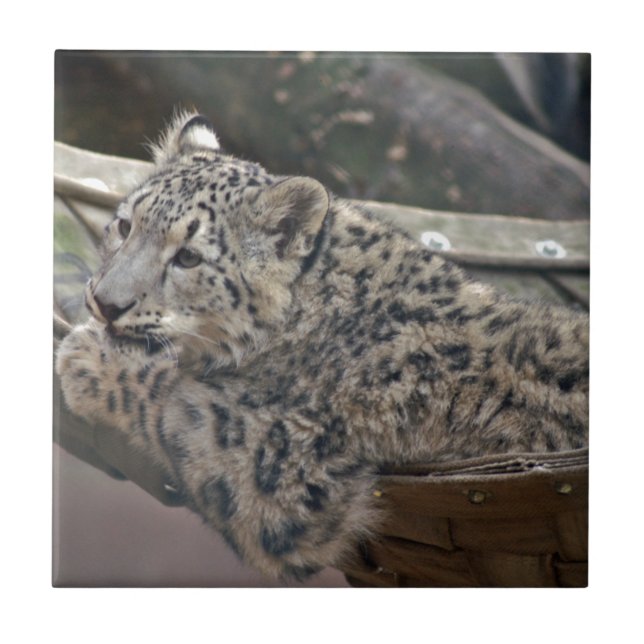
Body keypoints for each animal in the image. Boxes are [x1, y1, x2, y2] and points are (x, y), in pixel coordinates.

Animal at [56, 111, 589, 581]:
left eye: (188, 257)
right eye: (125, 225)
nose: (105, 303)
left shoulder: (280, 466)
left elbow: (177, 403)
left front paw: (90, 358)